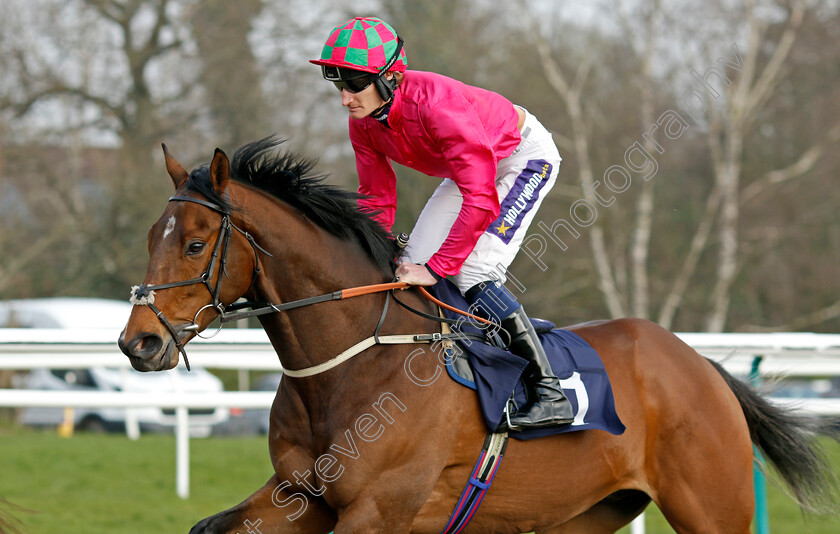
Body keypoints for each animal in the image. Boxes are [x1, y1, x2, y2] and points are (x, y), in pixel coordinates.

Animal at [120, 139, 840, 534]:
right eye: (150, 236)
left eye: (193, 244)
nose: (138, 344)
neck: (351, 365)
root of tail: (700, 365)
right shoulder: (301, 496)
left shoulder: (377, 511)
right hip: (584, 512)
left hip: (712, 507)